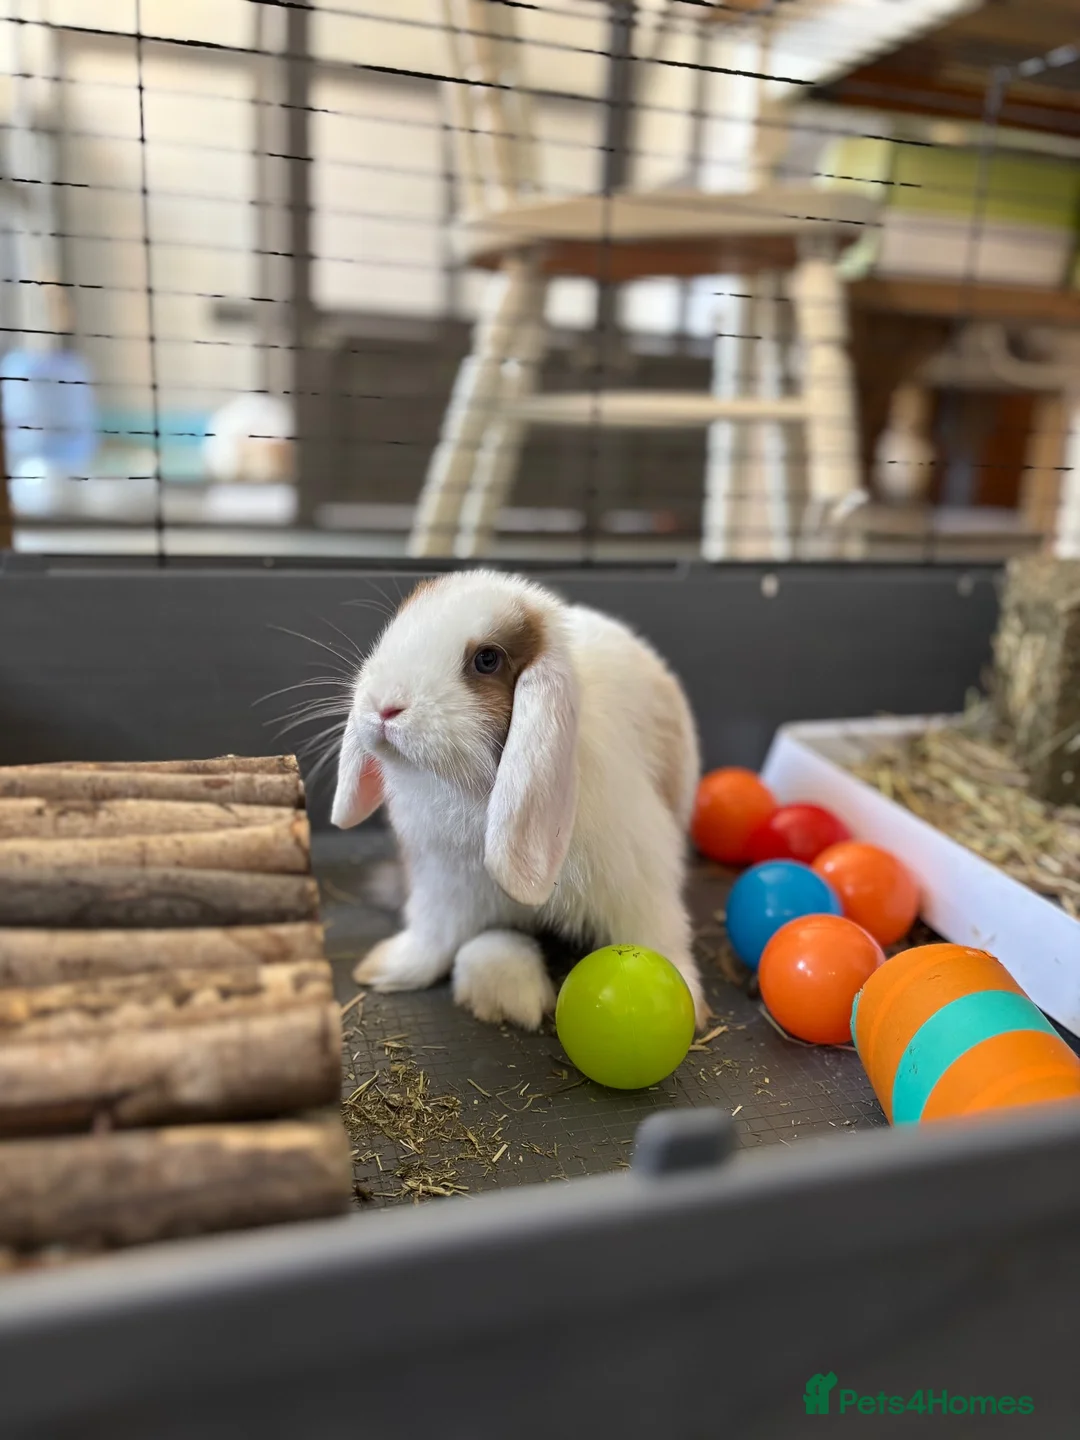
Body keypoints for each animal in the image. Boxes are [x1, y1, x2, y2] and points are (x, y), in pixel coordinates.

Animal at [331, 569, 708, 1032]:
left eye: (487, 660)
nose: (385, 706)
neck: (470, 790)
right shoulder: (442, 883)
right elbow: (432, 936)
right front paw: (387, 969)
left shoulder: (639, 881)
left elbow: (656, 936)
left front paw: (685, 1002)